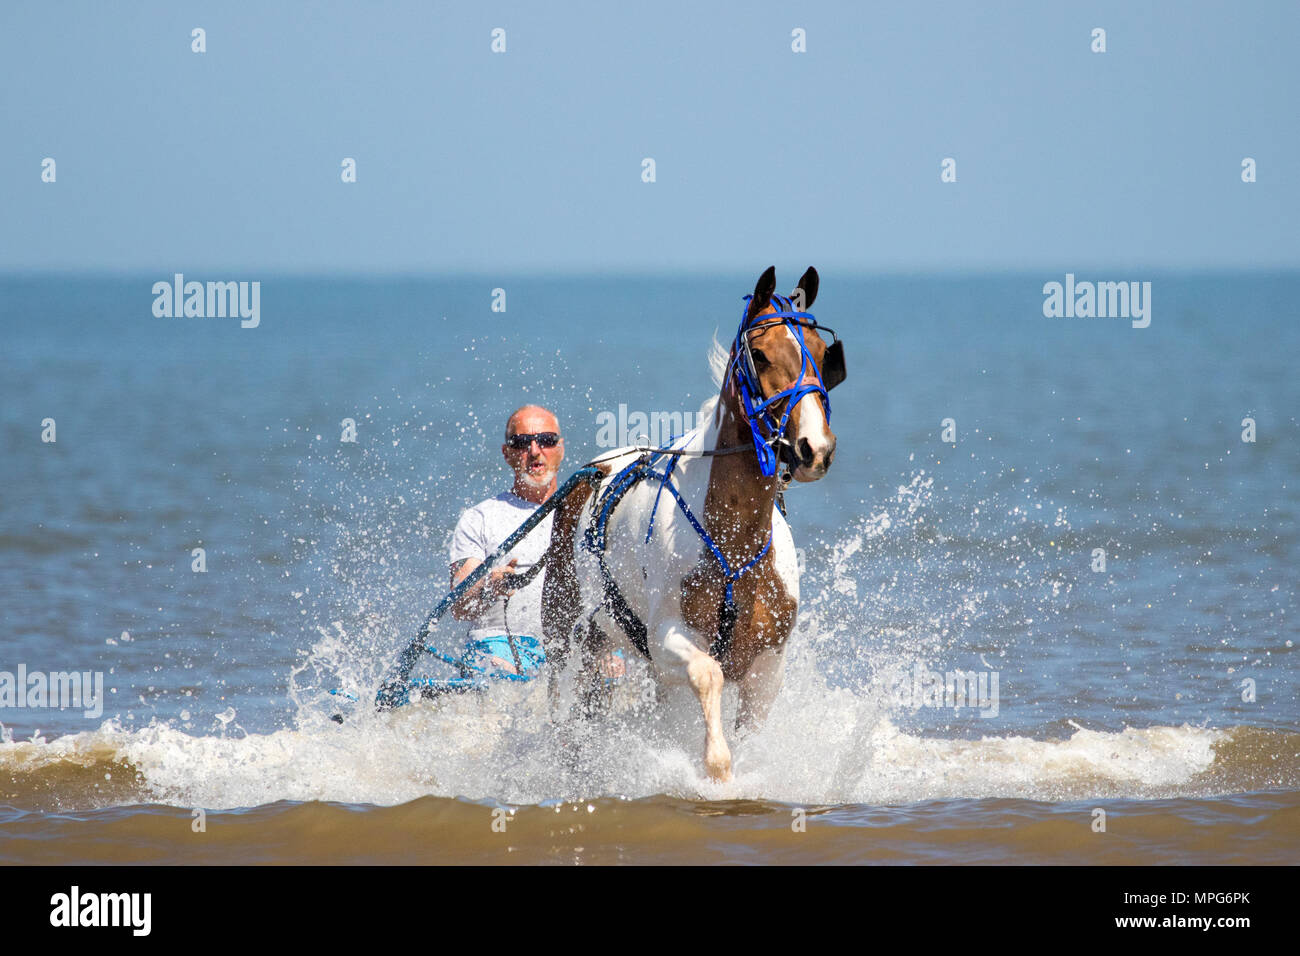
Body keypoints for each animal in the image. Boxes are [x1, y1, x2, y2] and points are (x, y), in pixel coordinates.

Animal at [538, 265, 842, 780]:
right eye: (760, 355)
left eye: (823, 353)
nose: (814, 449)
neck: (733, 542)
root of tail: (594, 470)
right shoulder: (667, 641)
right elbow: (708, 675)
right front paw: (716, 767)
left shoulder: (768, 664)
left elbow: (752, 725)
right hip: (567, 634)